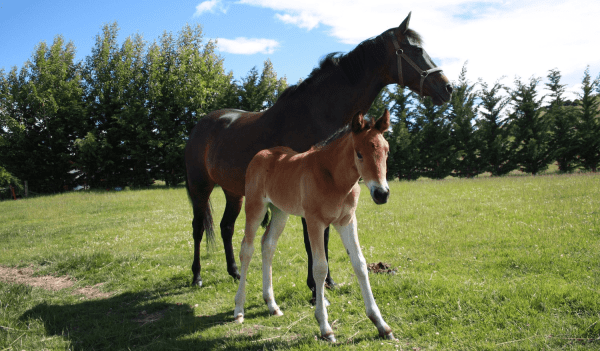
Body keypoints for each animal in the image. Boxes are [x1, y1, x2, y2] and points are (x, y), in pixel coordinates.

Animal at [183, 11, 450, 296]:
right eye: (416, 49)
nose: (448, 88)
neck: (317, 113)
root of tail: (199, 126)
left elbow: (325, 236)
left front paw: (328, 282)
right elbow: (312, 239)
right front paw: (314, 285)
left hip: (234, 192)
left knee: (226, 227)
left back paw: (234, 272)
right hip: (201, 188)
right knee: (198, 228)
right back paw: (197, 276)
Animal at [234, 110, 394, 344]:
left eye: (386, 151)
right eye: (359, 154)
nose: (381, 194)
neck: (334, 178)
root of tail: (261, 154)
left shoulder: (347, 221)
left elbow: (360, 264)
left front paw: (381, 324)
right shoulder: (314, 222)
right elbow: (320, 268)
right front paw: (325, 328)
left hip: (280, 211)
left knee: (268, 245)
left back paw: (272, 305)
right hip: (255, 207)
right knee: (247, 248)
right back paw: (238, 309)